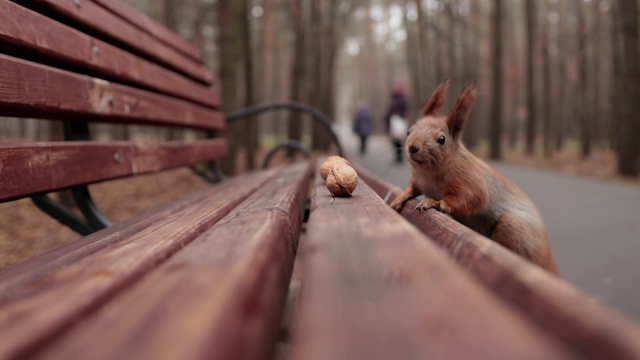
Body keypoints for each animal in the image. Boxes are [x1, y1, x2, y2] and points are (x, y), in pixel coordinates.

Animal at [388, 79, 556, 274]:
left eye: (442, 139)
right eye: (409, 131)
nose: (413, 147)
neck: (428, 172)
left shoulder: (469, 178)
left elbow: (472, 197)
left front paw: (433, 203)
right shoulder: (418, 181)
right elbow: (411, 189)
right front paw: (400, 197)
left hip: (513, 228)